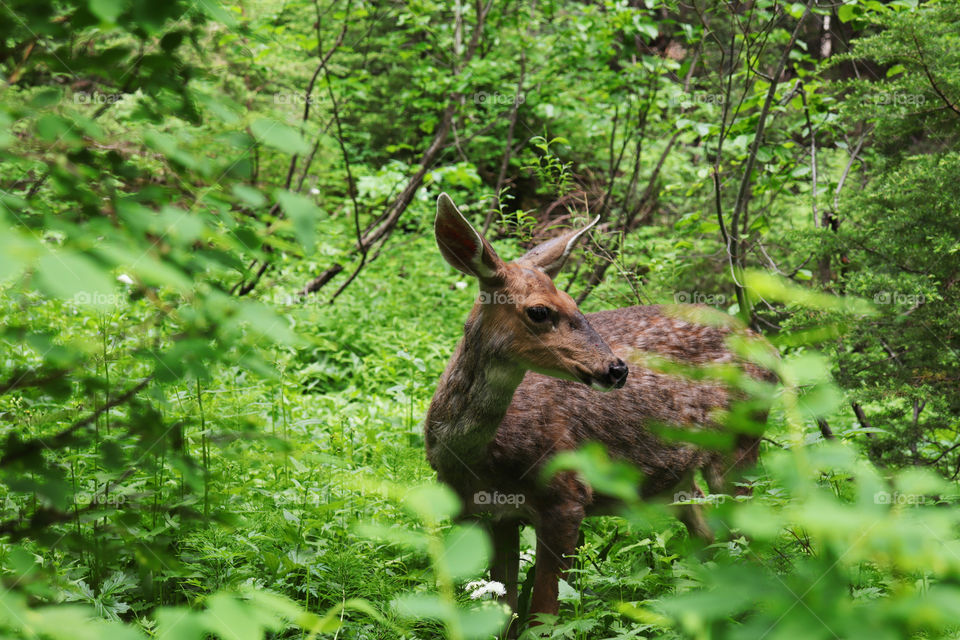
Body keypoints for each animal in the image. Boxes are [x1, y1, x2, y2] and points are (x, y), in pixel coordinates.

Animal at [424, 193, 774, 627]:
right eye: (539, 311)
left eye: (574, 301)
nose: (617, 368)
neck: (479, 460)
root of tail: (771, 349)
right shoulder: (483, 516)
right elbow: (503, 614)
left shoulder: (567, 496)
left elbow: (543, 616)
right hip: (676, 478)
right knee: (710, 537)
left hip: (740, 444)